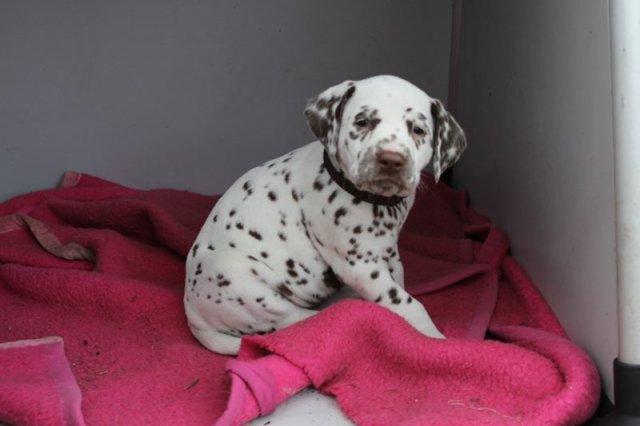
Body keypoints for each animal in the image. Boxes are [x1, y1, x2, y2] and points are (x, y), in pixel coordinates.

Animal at [184, 75, 466, 355]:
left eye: (418, 130)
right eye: (363, 122)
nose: (391, 159)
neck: (376, 201)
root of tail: (193, 317)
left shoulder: (388, 252)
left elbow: (400, 280)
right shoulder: (361, 267)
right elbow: (409, 304)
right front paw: (434, 339)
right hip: (234, 274)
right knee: (295, 320)